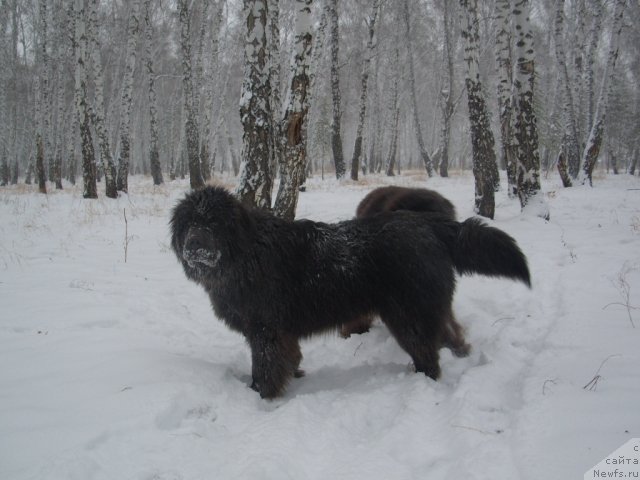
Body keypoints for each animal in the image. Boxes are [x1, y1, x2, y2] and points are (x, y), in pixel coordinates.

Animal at [170, 186, 528, 400]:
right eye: (188, 224)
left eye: (213, 223)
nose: (194, 246)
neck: (245, 254)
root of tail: (429, 223)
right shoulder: (282, 333)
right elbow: (289, 358)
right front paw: (294, 376)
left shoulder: (266, 331)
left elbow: (266, 367)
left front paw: (262, 396)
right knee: (446, 336)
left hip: (408, 314)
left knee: (428, 354)